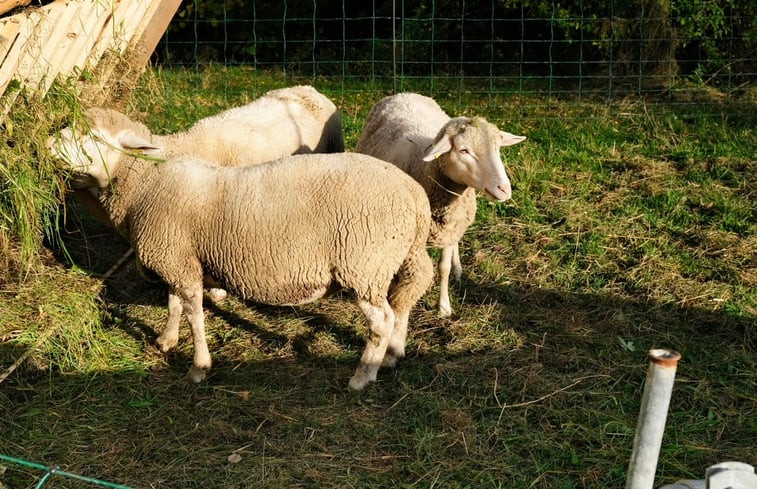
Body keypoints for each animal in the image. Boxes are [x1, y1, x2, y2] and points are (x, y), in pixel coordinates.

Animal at [51, 113, 432, 388]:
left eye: (90, 136)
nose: (46, 145)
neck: (147, 184)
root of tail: (413, 194)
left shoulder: (179, 262)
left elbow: (194, 314)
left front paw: (198, 367)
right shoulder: (177, 257)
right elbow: (174, 304)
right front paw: (166, 340)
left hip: (364, 265)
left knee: (382, 320)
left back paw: (363, 375)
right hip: (393, 258)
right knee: (404, 299)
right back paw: (392, 355)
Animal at [356, 92, 524, 316]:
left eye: (498, 148)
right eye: (464, 150)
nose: (504, 189)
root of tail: (405, 93)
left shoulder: (451, 224)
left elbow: (443, 267)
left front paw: (443, 306)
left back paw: (458, 267)